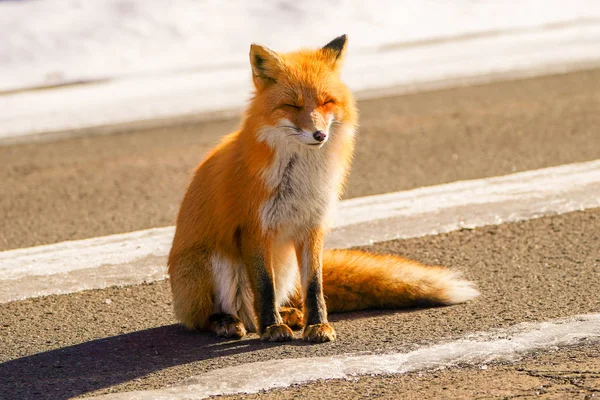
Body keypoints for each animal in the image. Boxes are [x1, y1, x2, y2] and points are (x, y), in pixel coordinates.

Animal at [168, 34, 478, 344]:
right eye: (292, 106)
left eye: (326, 102)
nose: (319, 134)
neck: (300, 178)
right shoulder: (254, 228)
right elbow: (265, 288)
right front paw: (272, 328)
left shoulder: (312, 225)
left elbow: (314, 286)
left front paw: (317, 325)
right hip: (216, 262)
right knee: (207, 318)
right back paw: (229, 321)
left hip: (286, 266)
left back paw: (289, 314)